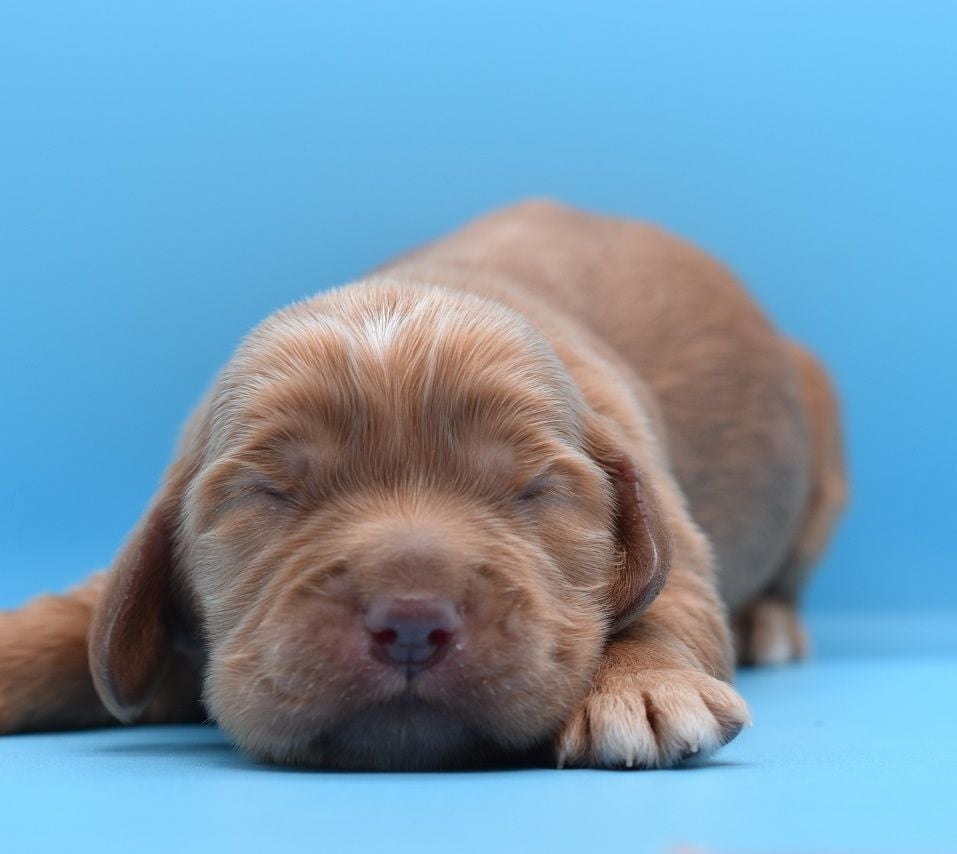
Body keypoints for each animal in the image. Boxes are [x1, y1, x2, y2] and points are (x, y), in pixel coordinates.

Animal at [0, 200, 846, 770]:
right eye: (268, 494)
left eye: (533, 489)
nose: (411, 623)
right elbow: (73, 622)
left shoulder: (664, 510)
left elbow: (666, 599)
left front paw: (642, 689)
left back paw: (770, 625)